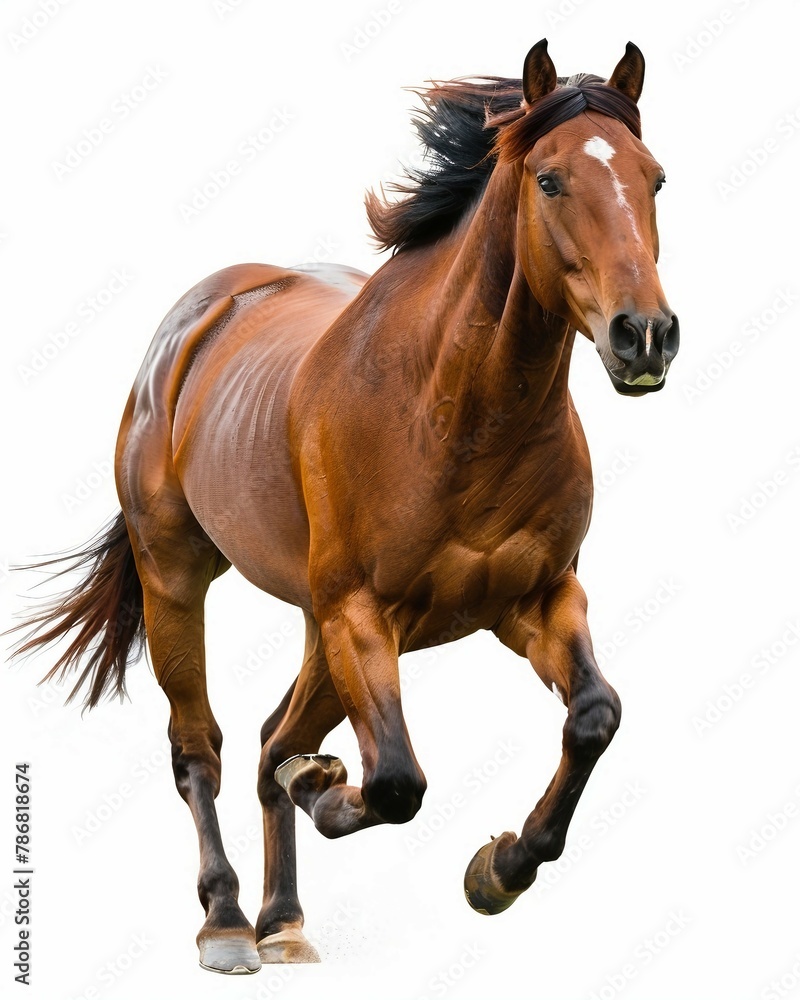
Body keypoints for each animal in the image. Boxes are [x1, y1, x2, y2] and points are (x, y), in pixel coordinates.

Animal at [15, 39, 678, 973]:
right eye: (550, 179)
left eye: (654, 178)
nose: (645, 335)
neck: (452, 411)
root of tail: (194, 322)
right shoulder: (362, 613)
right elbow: (396, 780)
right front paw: (329, 788)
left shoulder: (537, 600)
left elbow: (594, 716)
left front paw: (500, 869)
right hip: (179, 576)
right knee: (204, 751)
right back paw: (229, 921)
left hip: (314, 627)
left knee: (269, 739)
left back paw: (285, 920)